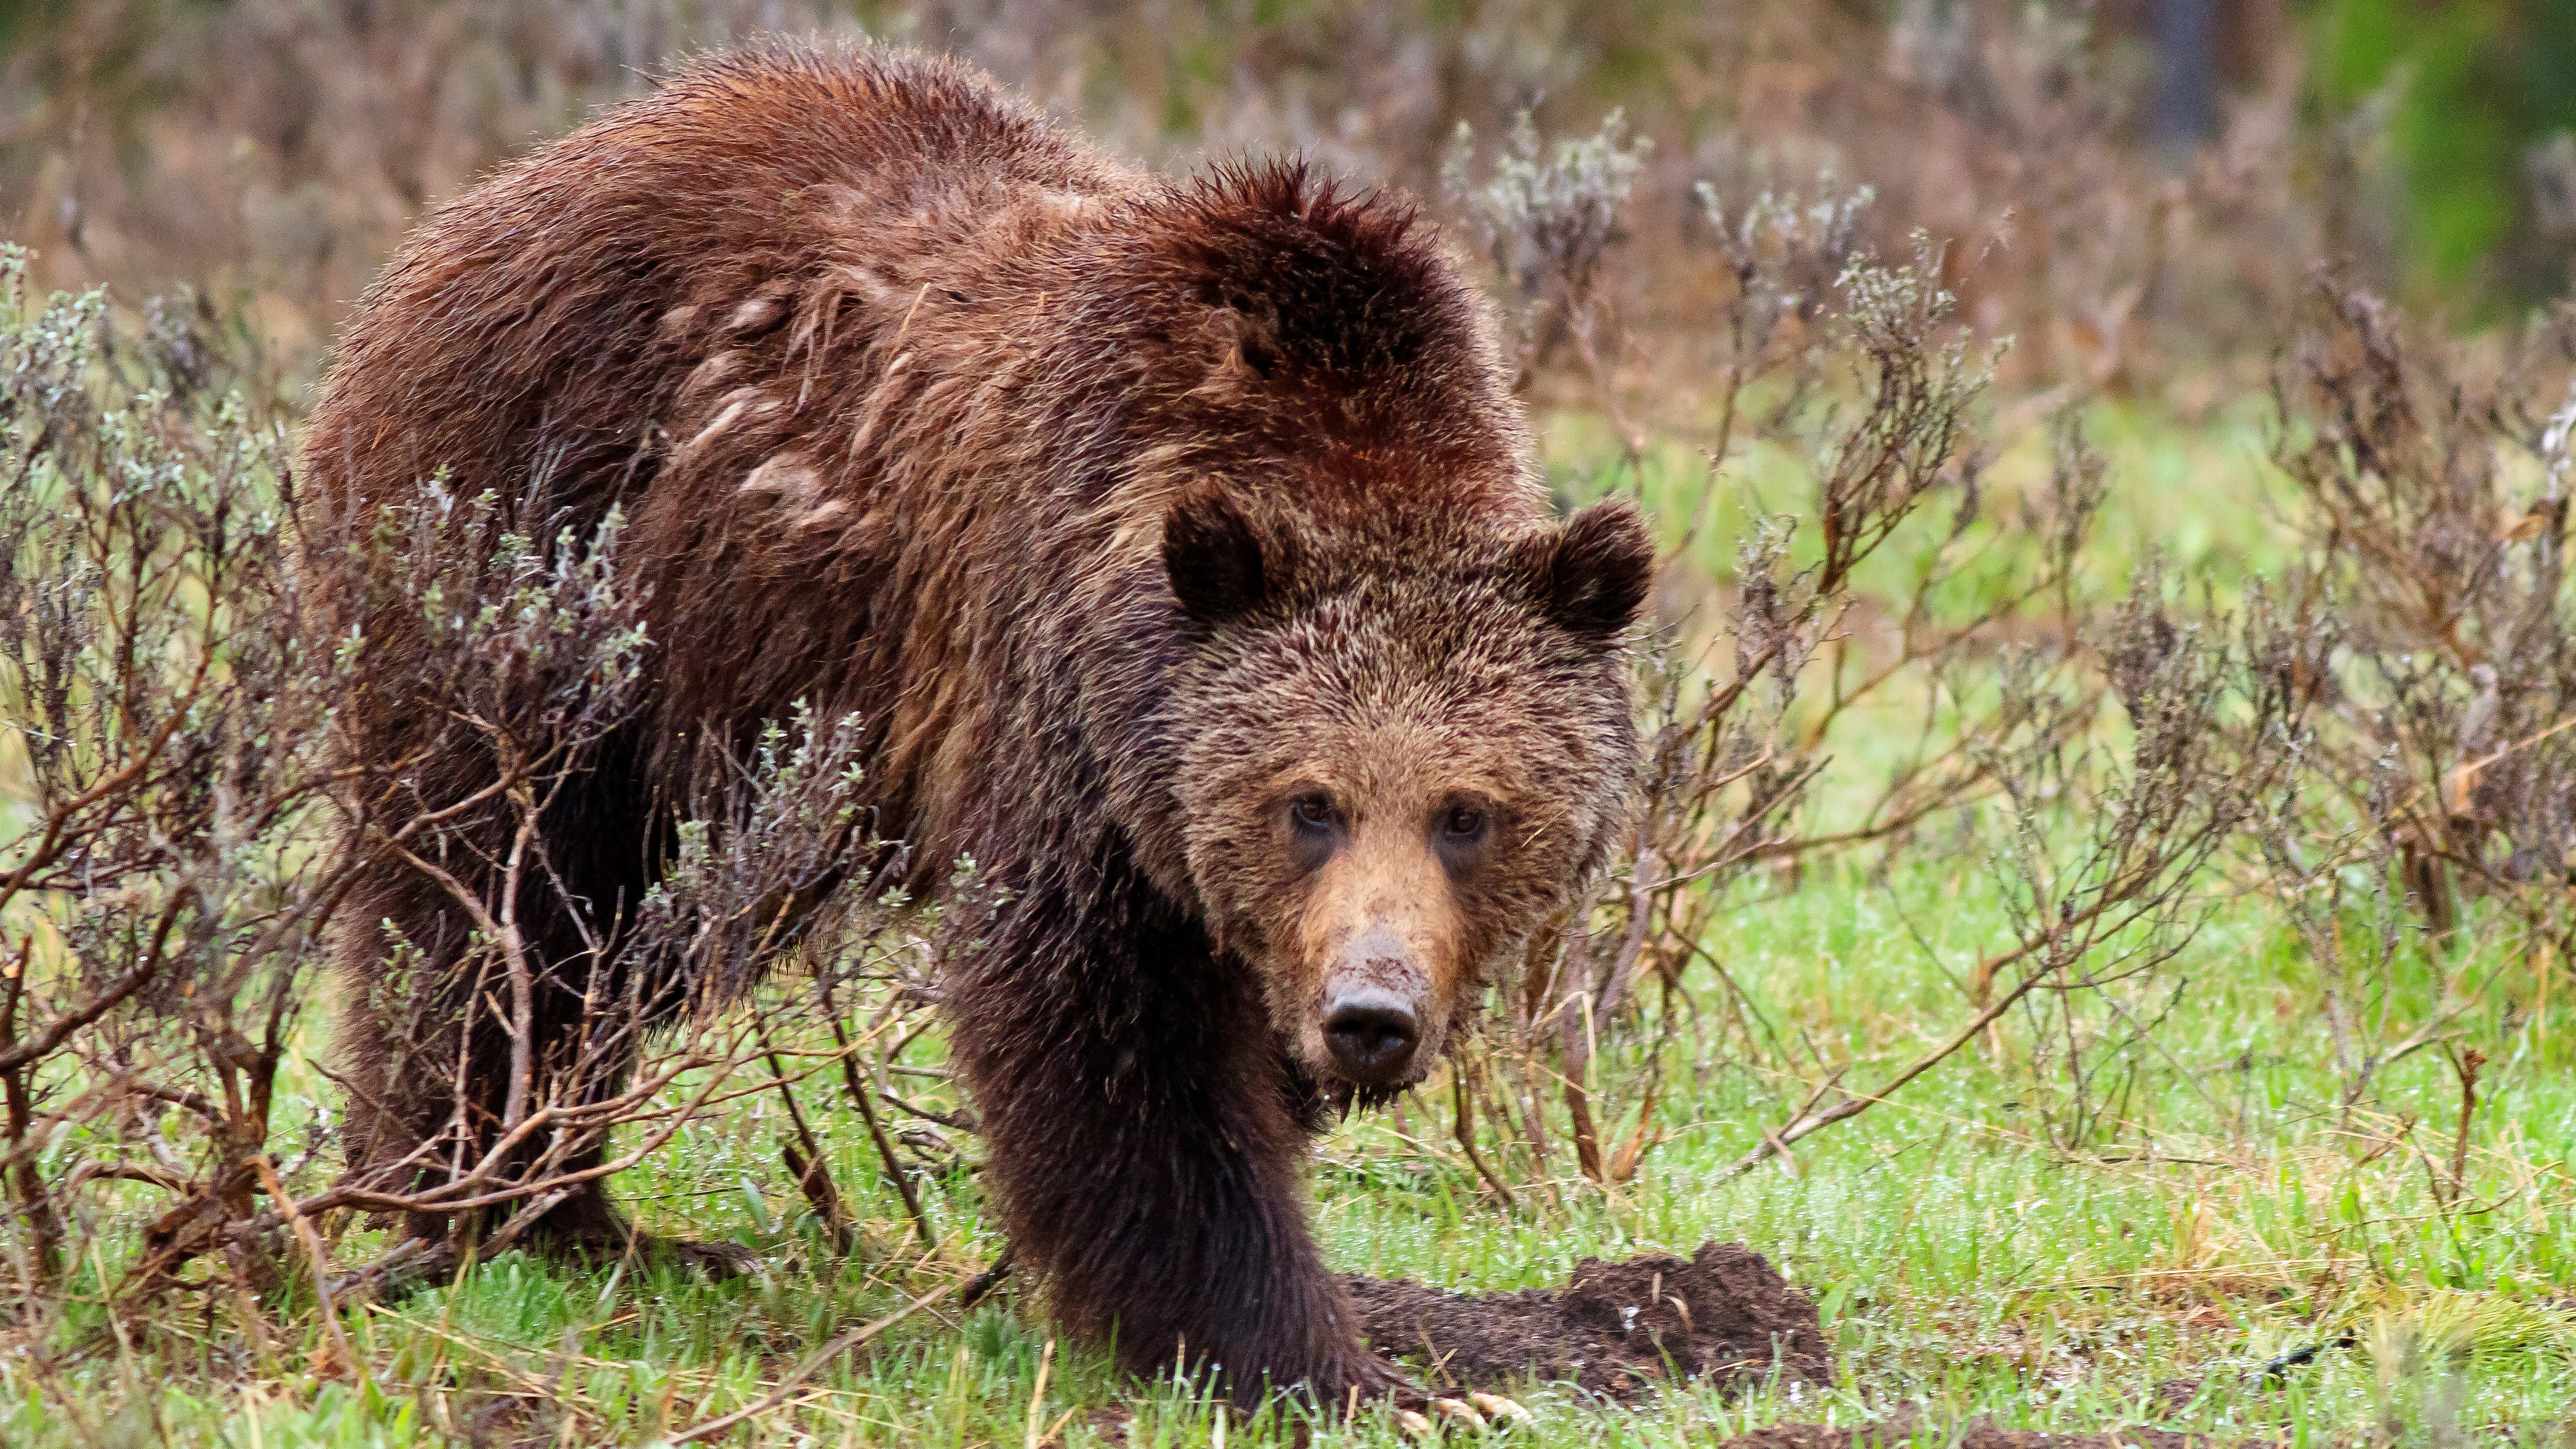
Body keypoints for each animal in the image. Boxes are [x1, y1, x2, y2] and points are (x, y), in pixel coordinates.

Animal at [306, 42, 1648, 1410]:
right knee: (501, 904)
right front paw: (1318, 1357)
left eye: (1467, 813)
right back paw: (504, 1201)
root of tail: (476, 209)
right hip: (558, 572)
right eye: (1308, 802)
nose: (1370, 1014)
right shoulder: (1064, 715)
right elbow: (1114, 1049)